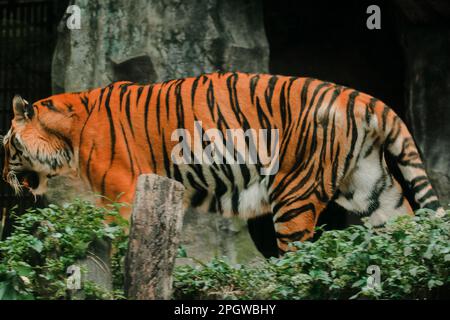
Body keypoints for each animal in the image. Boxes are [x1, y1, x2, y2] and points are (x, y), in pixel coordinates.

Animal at [0, 71, 446, 256]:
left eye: (6, 146)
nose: (3, 179)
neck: (68, 136)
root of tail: (363, 98)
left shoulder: (120, 193)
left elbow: (117, 239)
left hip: (294, 195)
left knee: (298, 260)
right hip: (371, 189)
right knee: (405, 228)